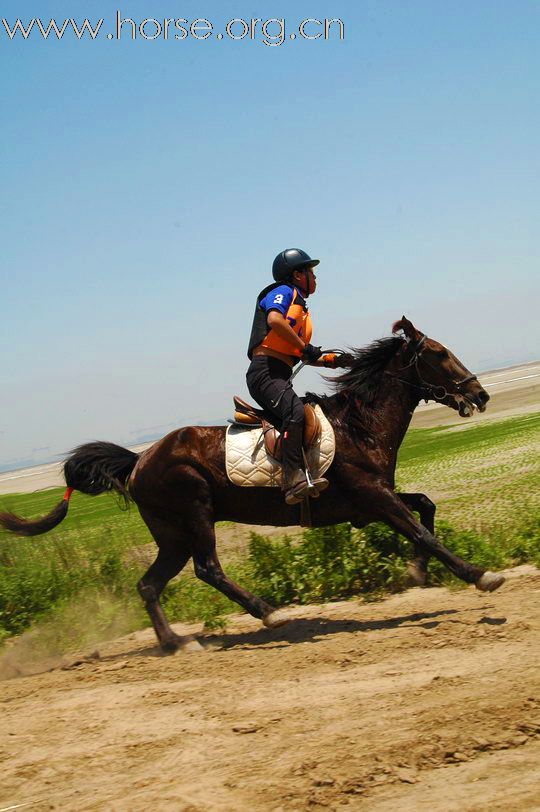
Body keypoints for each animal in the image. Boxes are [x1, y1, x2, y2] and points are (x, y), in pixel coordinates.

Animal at [2, 318, 504, 652]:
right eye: (438, 353)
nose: (479, 394)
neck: (358, 426)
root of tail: (140, 459)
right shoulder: (373, 497)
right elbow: (421, 530)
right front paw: (480, 575)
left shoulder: (372, 500)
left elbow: (426, 507)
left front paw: (417, 572)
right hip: (195, 513)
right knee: (208, 568)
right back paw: (268, 612)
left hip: (172, 535)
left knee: (149, 585)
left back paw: (176, 643)